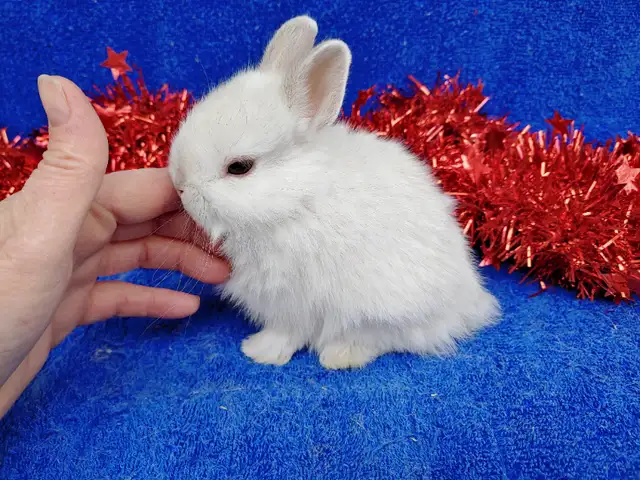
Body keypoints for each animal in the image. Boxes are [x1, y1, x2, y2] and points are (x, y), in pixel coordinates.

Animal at [168, 15, 501, 369]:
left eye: (239, 167)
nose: (180, 186)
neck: (297, 198)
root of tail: (468, 302)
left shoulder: (293, 300)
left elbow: (287, 331)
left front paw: (261, 352)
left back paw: (340, 356)